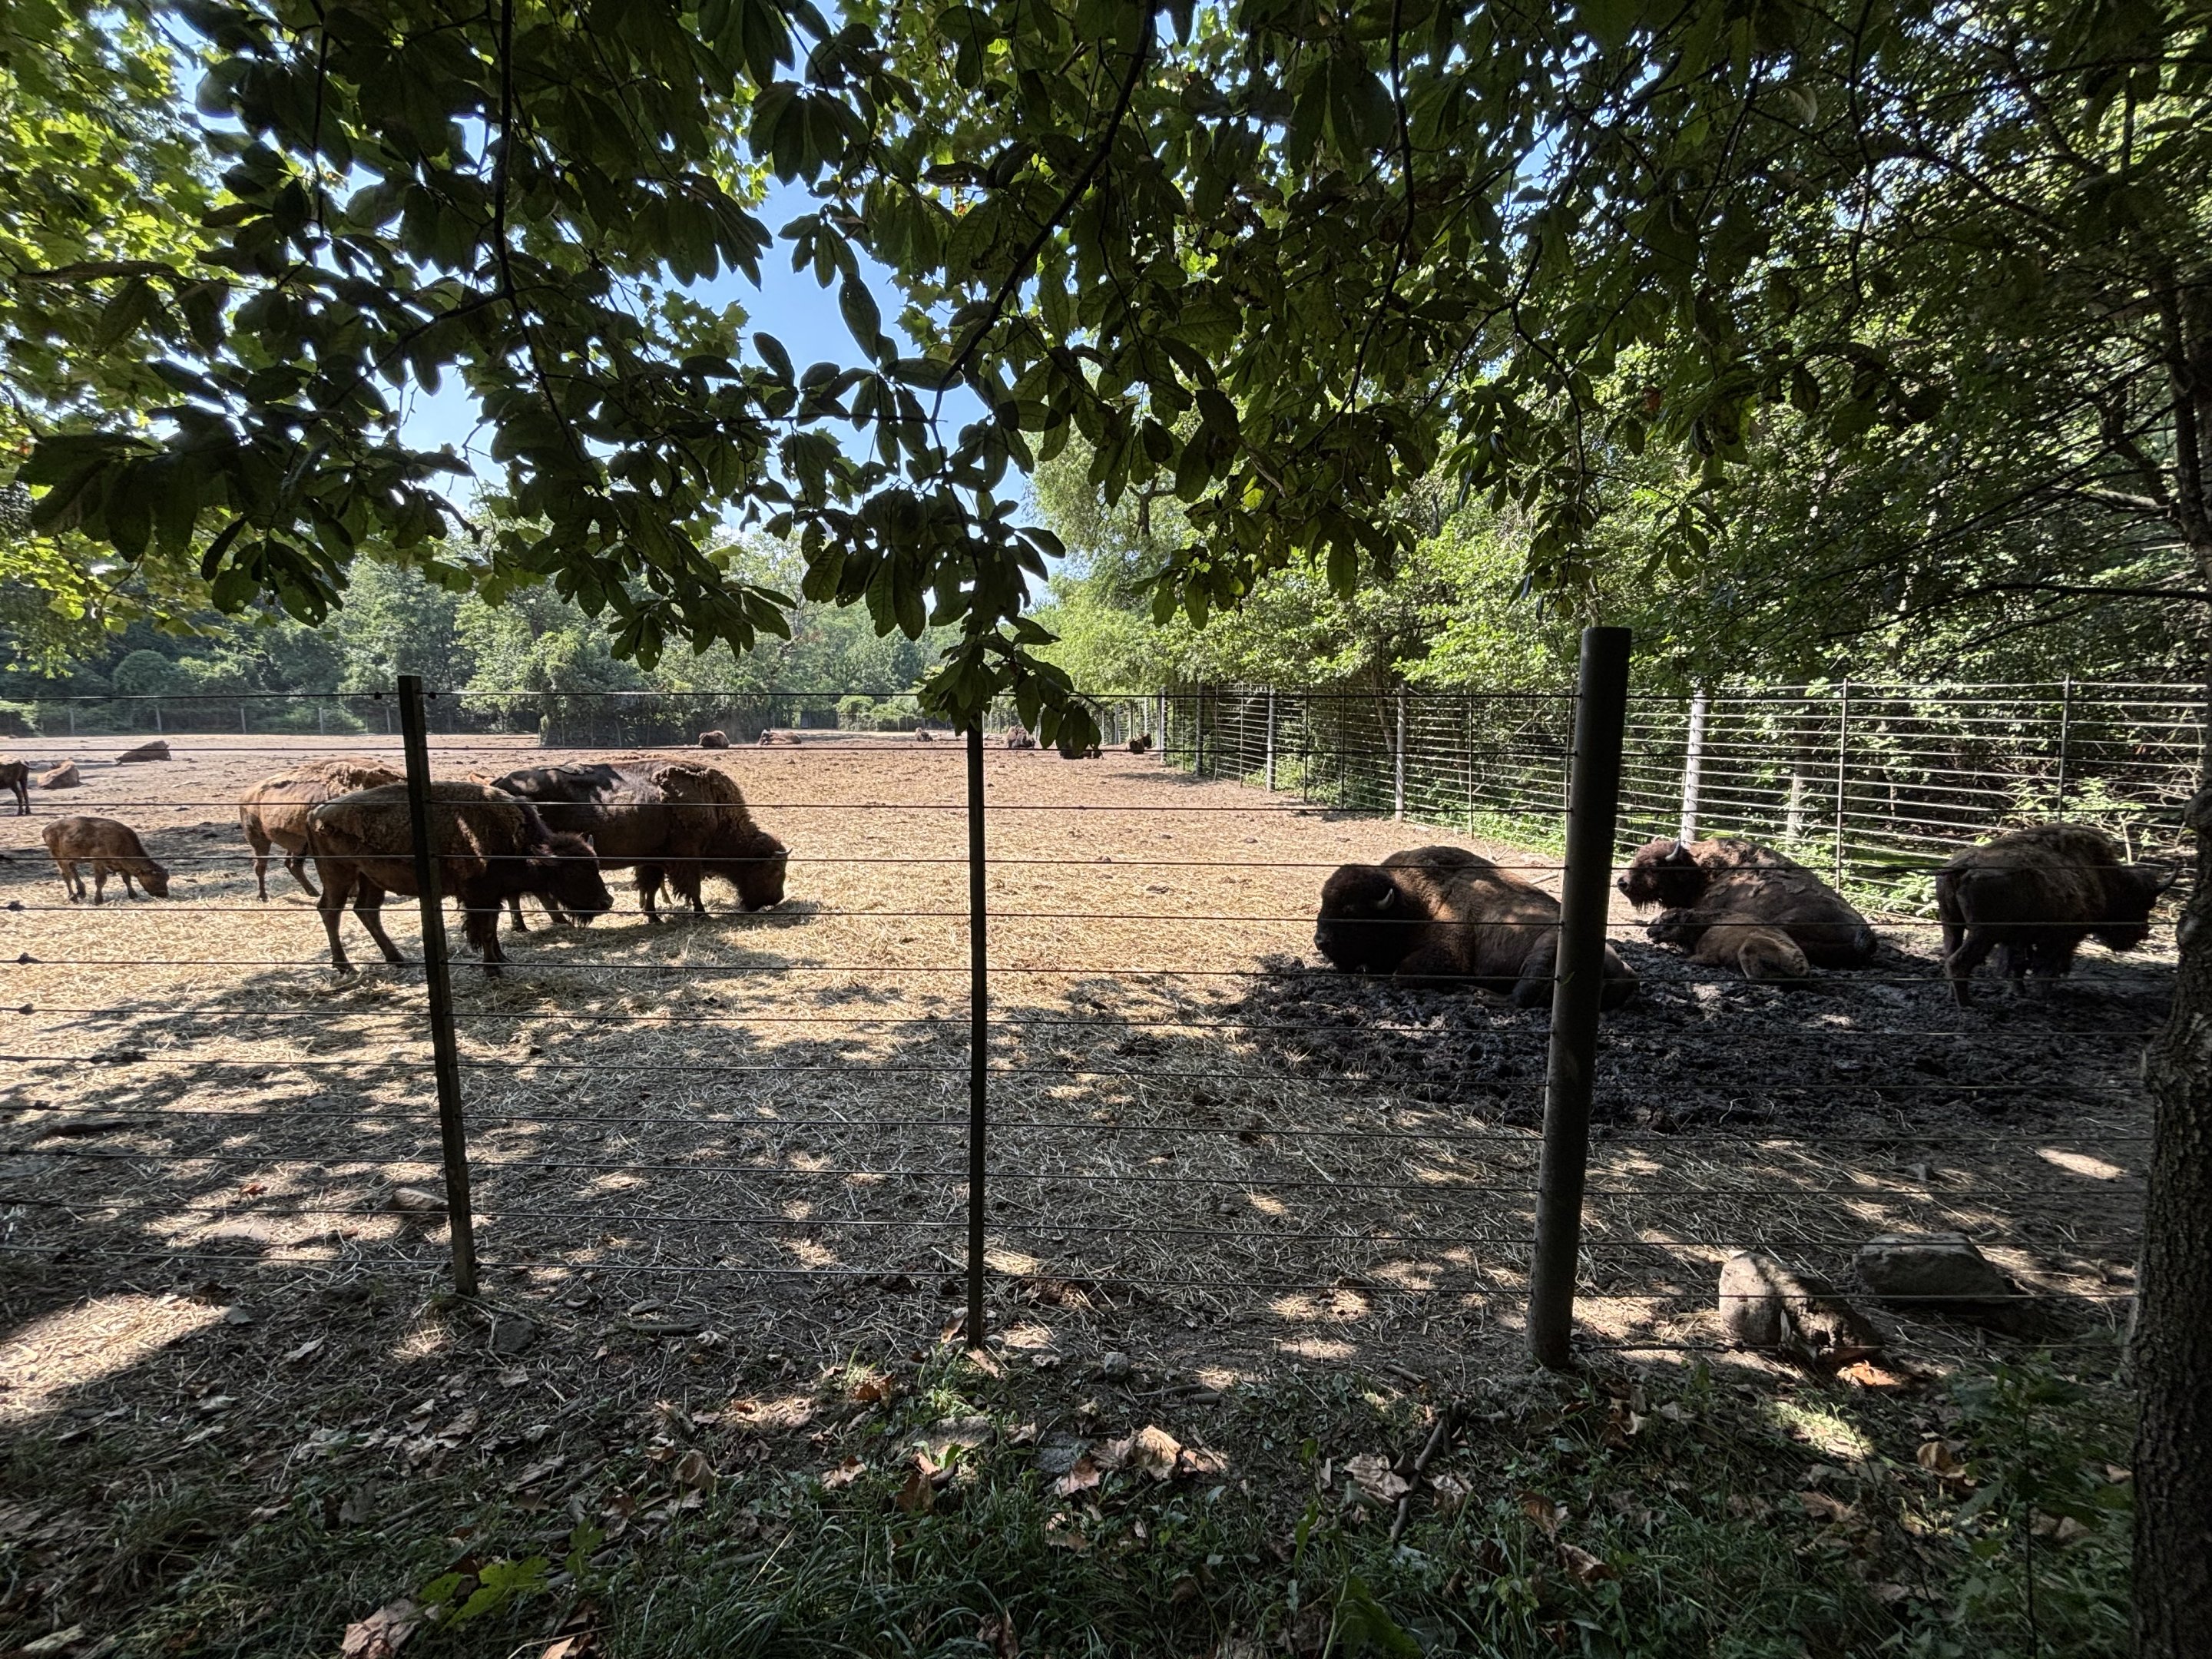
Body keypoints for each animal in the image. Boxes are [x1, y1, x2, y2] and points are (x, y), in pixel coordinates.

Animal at [1316, 845, 1638, 1009]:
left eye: (1351, 911)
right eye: (1323, 901)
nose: (1320, 941)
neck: (1413, 900)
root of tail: (1626, 972)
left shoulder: (1447, 957)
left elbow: (1401, 974)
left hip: (1547, 949)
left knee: (1519, 999)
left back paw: (1478, 993)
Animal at [1935, 823, 2173, 1004]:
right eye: (2143, 903)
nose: (2143, 933)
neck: (2105, 880)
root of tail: (1964, 866)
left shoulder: (2020, 939)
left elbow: (2019, 965)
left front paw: (2018, 993)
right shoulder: (2064, 939)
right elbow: (2048, 968)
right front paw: (2043, 996)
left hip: (1952, 925)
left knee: (1949, 955)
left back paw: (1953, 996)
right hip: (1983, 934)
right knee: (1959, 962)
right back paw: (1966, 1004)